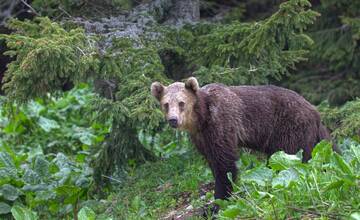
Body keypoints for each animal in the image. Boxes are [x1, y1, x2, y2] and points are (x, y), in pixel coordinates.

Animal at [150, 77, 334, 201]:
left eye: (181, 103)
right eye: (166, 104)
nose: (173, 120)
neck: (201, 118)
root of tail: (315, 111)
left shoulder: (222, 124)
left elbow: (224, 164)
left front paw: (220, 197)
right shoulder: (201, 137)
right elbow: (212, 160)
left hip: (289, 127)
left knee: (293, 156)